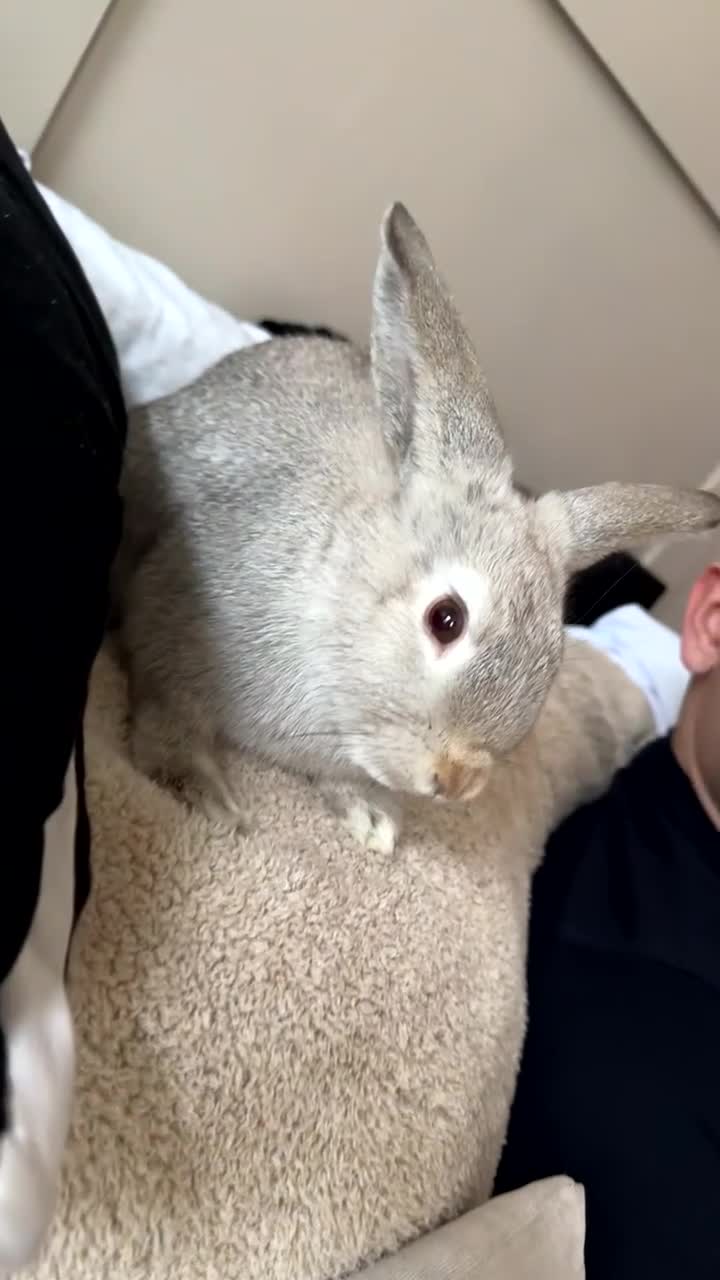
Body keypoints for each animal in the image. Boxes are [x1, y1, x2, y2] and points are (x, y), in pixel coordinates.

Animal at [114, 203, 720, 852]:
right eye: (445, 619)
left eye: (554, 659)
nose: (455, 780)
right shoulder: (170, 627)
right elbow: (169, 717)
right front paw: (207, 798)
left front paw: (371, 818)